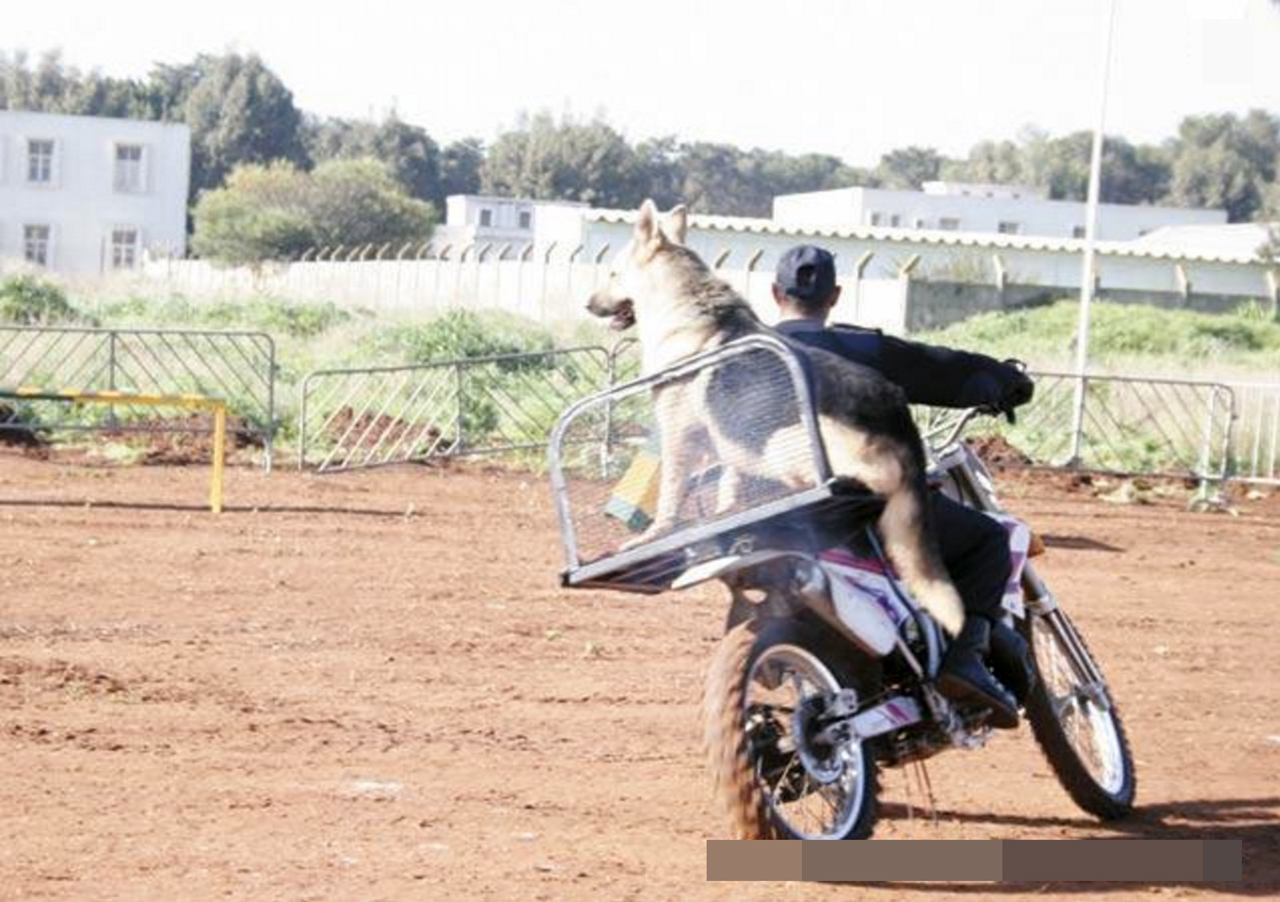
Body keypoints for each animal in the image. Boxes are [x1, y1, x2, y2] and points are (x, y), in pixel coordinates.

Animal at [586, 198, 962, 634]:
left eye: (614, 273)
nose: (588, 304)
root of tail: (900, 420)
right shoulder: (730, 439)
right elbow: (727, 488)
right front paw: (727, 513)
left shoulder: (681, 436)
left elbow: (669, 497)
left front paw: (653, 535)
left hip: (785, 444)